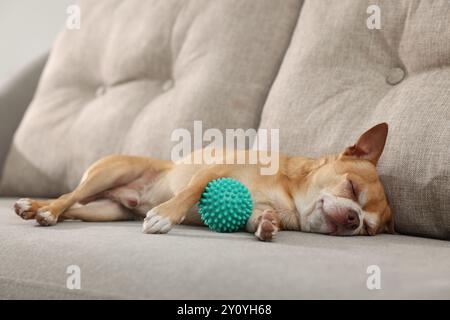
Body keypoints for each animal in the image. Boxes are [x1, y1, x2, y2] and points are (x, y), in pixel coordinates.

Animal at [14, 122, 394, 240]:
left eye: (367, 230)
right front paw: (164, 216)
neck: (288, 195)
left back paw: (33, 207)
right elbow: (192, 191)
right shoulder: (213, 172)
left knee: (75, 207)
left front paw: (268, 225)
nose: (353, 218)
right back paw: (42, 210)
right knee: (68, 196)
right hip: (108, 172)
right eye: (351, 187)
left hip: (108, 211)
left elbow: (260, 219)